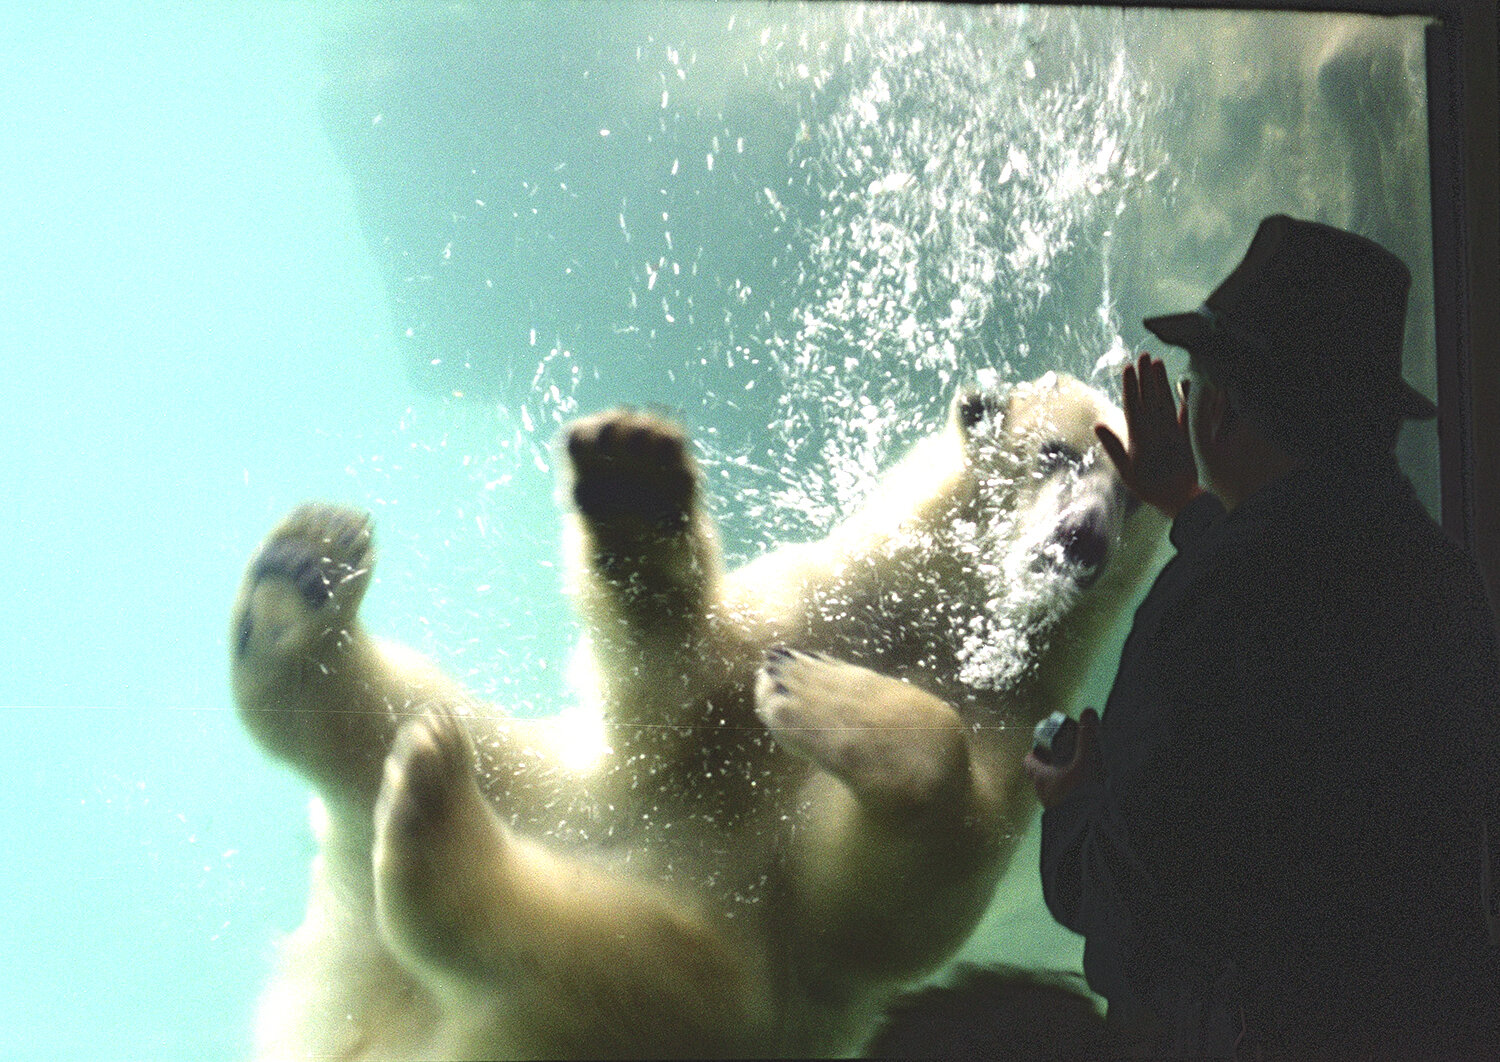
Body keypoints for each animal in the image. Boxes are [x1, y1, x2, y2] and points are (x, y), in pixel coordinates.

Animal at [230, 371, 1166, 1060]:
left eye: (1132, 494)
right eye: (1054, 452)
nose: (1084, 538)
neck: (922, 626)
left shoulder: (1017, 735)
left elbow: (888, 900)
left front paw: (822, 699)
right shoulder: (797, 604)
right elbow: (673, 679)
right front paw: (633, 478)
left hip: (671, 989)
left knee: (551, 937)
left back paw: (421, 796)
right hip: (552, 783)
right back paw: (299, 589)